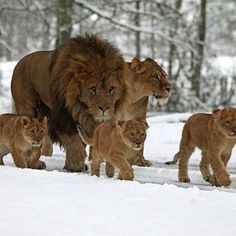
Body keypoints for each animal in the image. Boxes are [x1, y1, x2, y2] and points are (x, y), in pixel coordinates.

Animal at [11, 33, 124, 171]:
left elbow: (80, 139)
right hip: (28, 108)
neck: (81, 108)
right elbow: (73, 142)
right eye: (93, 89)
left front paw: (71, 165)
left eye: (111, 88)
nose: (104, 108)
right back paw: (33, 164)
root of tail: (19, 62)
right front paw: (76, 164)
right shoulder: (61, 117)